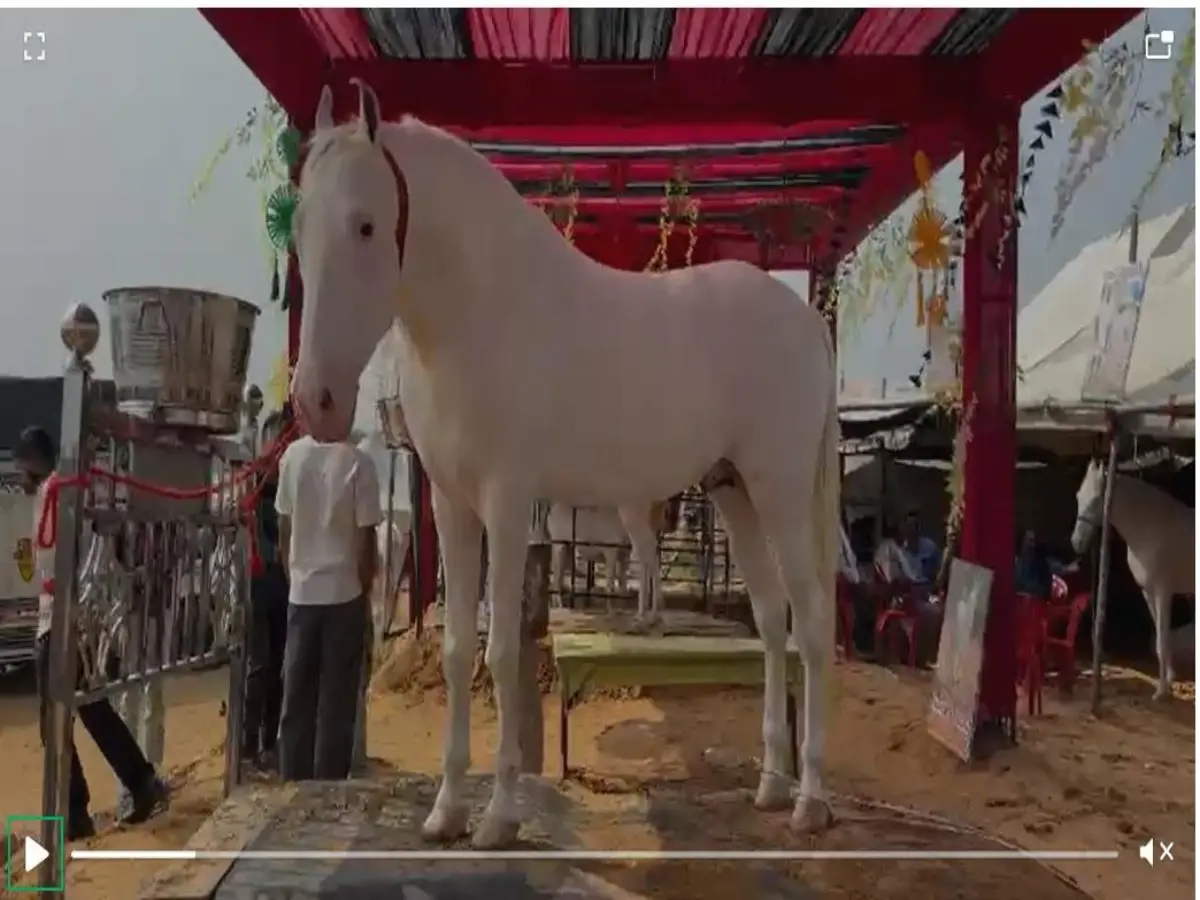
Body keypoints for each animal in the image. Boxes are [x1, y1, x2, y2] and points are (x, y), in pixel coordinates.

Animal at [289, 81, 840, 847]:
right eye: (299, 226)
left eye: (366, 226)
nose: (316, 402)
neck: (482, 312)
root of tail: (807, 321)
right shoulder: (452, 504)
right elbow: (458, 649)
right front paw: (445, 811)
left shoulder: (507, 501)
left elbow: (501, 653)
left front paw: (498, 818)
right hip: (737, 495)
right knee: (771, 622)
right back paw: (769, 785)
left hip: (781, 492)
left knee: (811, 626)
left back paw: (810, 799)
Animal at [1071, 458, 1195, 700]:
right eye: (1079, 496)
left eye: (1097, 499)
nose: (1076, 542)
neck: (1152, 528)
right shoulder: (1147, 591)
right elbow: (1161, 639)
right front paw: (1169, 680)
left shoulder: (1163, 592)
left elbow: (1162, 639)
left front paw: (1161, 691)